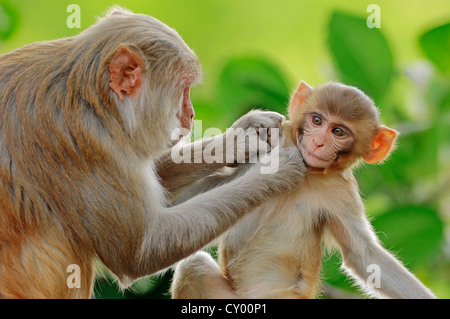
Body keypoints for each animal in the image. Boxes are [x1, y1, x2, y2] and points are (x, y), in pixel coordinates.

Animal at [0, 6, 306, 300]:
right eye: (183, 87)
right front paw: (275, 170)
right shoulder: (85, 143)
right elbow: (139, 253)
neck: (94, 100)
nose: (190, 115)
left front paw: (238, 140)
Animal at [171, 82, 436, 300]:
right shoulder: (268, 147)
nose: (317, 143)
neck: (309, 171)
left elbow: (364, 256)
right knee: (194, 264)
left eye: (338, 131)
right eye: (317, 121)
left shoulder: (341, 191)